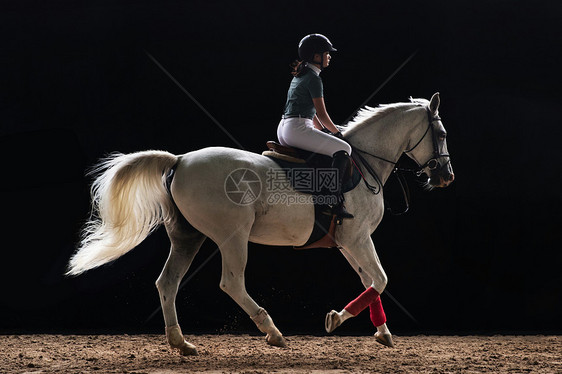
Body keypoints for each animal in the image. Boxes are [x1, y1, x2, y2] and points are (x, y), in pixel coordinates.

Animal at [66, 93, 450, 354]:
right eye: (443, 134)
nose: (446, 177)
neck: (365, 163)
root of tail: (180, 160)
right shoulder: (357, 238)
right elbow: (380, 280)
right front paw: (337, 319)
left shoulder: (348, 242)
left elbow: (369, 280)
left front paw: (382, 332)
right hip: (232, 236)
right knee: (231, 282)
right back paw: (273, 331)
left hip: (188, 236)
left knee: (167, 282)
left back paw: (181, 342)